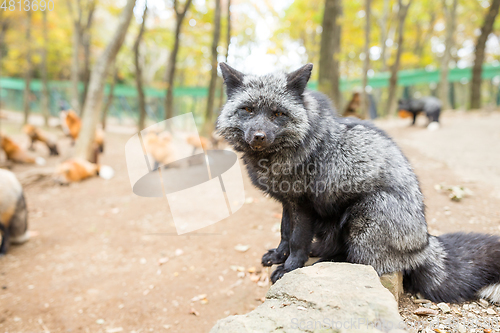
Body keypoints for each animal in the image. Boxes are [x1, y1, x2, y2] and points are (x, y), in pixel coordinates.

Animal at [218, 63, 500, 304]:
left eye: (277, 113)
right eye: (247, 110)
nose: (258, 136)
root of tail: (424, 245)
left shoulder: (303, 204)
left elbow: (297, 240)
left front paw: (288, 269)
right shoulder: (288, 202)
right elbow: (284, 233)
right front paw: (278, 256)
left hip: (364, 214)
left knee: (362, 262)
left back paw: (325, 262)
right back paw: (319, 252)